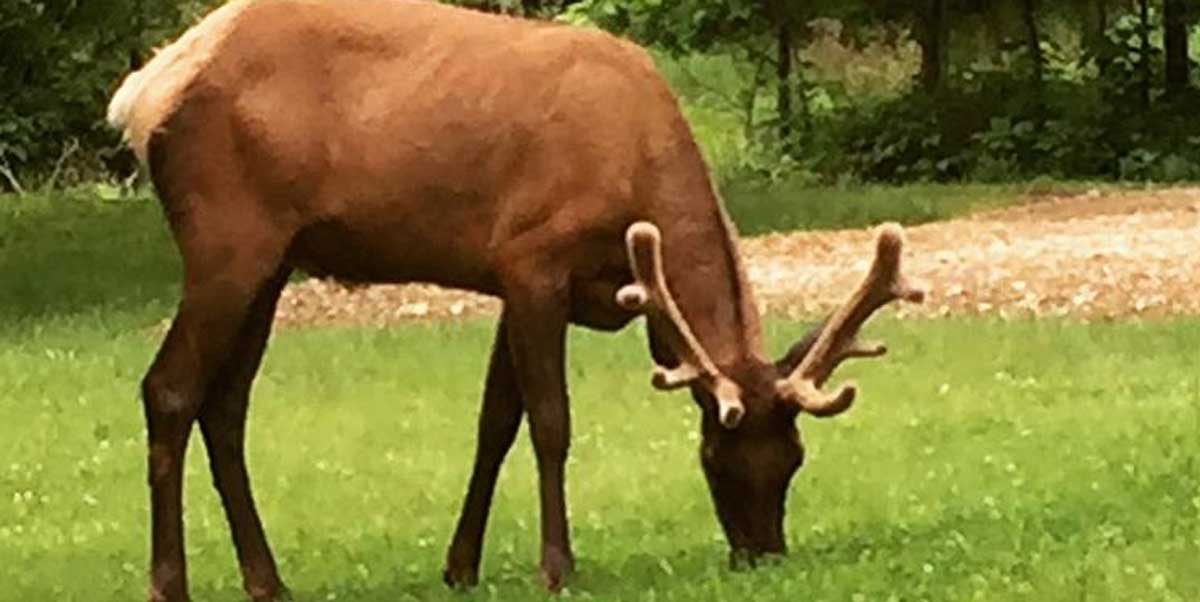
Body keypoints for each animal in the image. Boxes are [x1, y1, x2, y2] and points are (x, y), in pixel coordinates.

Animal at [106, 0, 925, 600]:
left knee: (226, 405)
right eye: (718, 456)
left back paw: (267, 580)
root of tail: (141, 97)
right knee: (169, 389)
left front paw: (460, 566)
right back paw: (169, 582)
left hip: (273, 260)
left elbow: (494, 423)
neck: (637, 173)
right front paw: (557, 567)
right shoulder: (534, 258)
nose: (763, 554)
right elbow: (550, 422)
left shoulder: (513, 278)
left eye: (793, 460)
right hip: (227, 236)